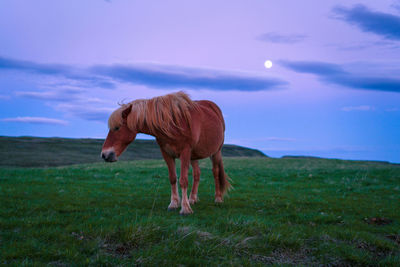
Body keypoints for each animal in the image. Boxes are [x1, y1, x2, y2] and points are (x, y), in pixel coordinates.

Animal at [101, 92, 231, 216]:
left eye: (117, 128)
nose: (105, 155)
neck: (173, 123)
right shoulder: (166, 153)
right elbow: (173, 178)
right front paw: (174, 204)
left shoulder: (185, 152)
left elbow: (183, 180)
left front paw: (185, 208)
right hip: (194, 155)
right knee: (197, 174)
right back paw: (193, 198)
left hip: (216, 152)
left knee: (215, 172)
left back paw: (218, 198)